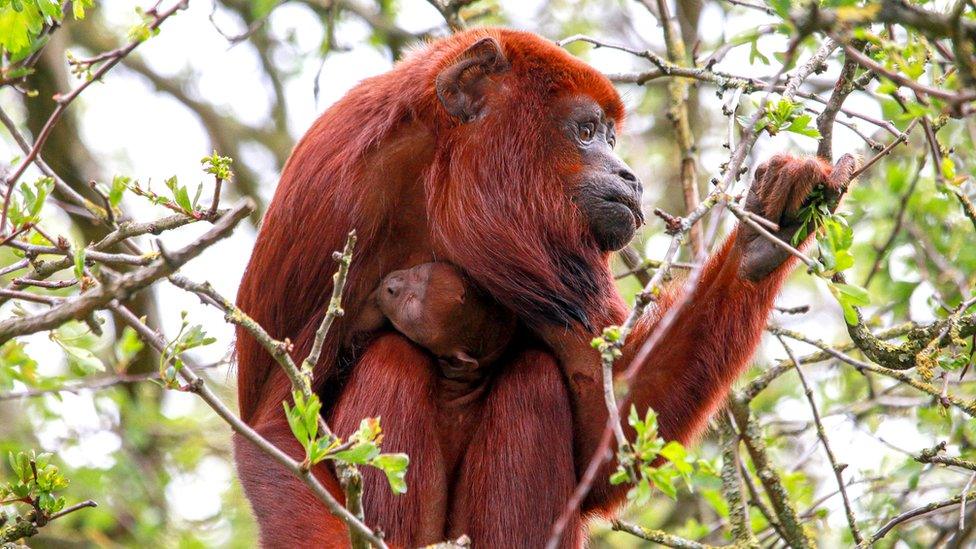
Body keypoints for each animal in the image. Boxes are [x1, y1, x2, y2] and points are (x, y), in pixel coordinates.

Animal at [234, 26, 856, 548]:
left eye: (611, 136)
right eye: (585, 131)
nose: (630, 177)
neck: (443, 170)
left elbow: (612, 428)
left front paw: (765, 237)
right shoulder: (339, 195)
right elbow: (277, 432)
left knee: (535, 380)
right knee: (393, 358)